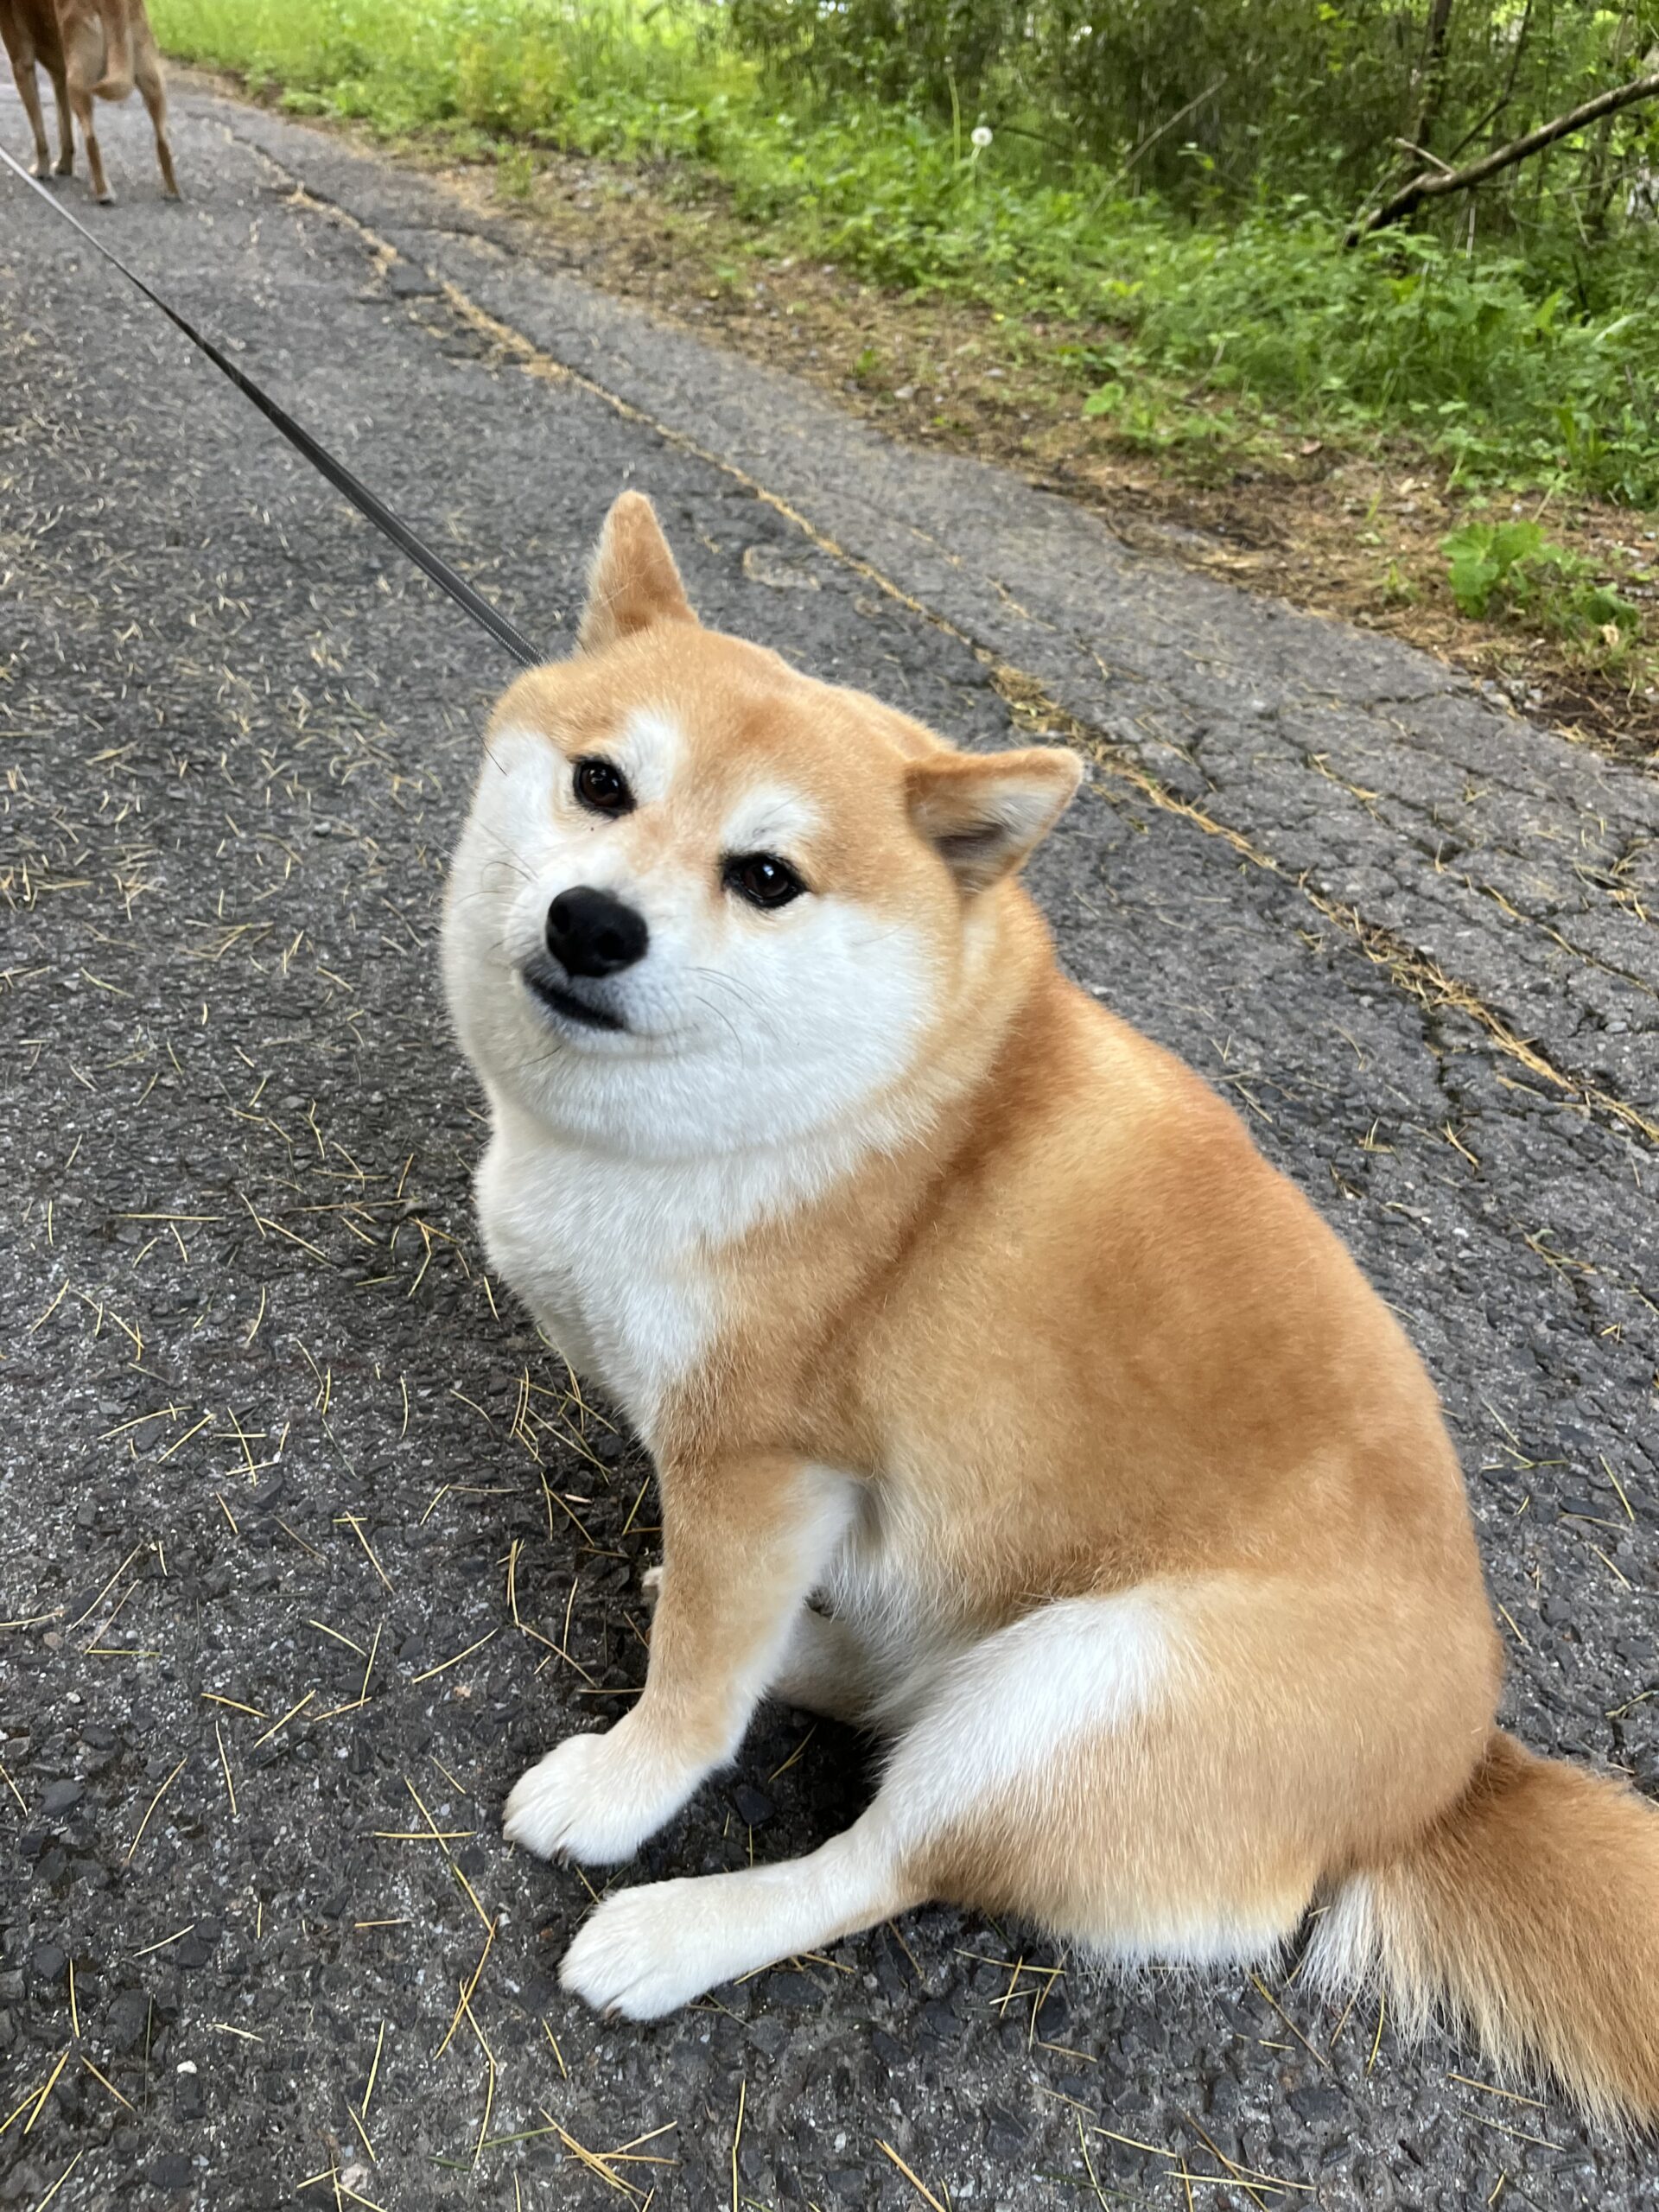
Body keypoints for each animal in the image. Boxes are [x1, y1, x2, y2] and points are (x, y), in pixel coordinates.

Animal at [0, 0, 177, 202]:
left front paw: (42, 171)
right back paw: (172, 191)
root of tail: (114, 4)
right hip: (153, 85)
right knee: (163, 142)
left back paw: (103, 193)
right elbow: (65, 130)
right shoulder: (60, 77)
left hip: (78, 84)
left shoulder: (22, 66)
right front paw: (64, 167)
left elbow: (40, 135)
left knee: (91, 140)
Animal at [442, 491, 1659, 2117]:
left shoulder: (757, 1465)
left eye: (766, 877)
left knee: (881, 1858)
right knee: (890, 1688)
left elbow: (698, 1689)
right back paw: (805, 1656)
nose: (593, 924)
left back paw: (676, 1931)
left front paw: (628, 1781)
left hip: (1094, 1689)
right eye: (599, 784)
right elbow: (715, 1632)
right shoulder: (759, 1500)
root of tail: (1452, 1777)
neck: (864, 1104)